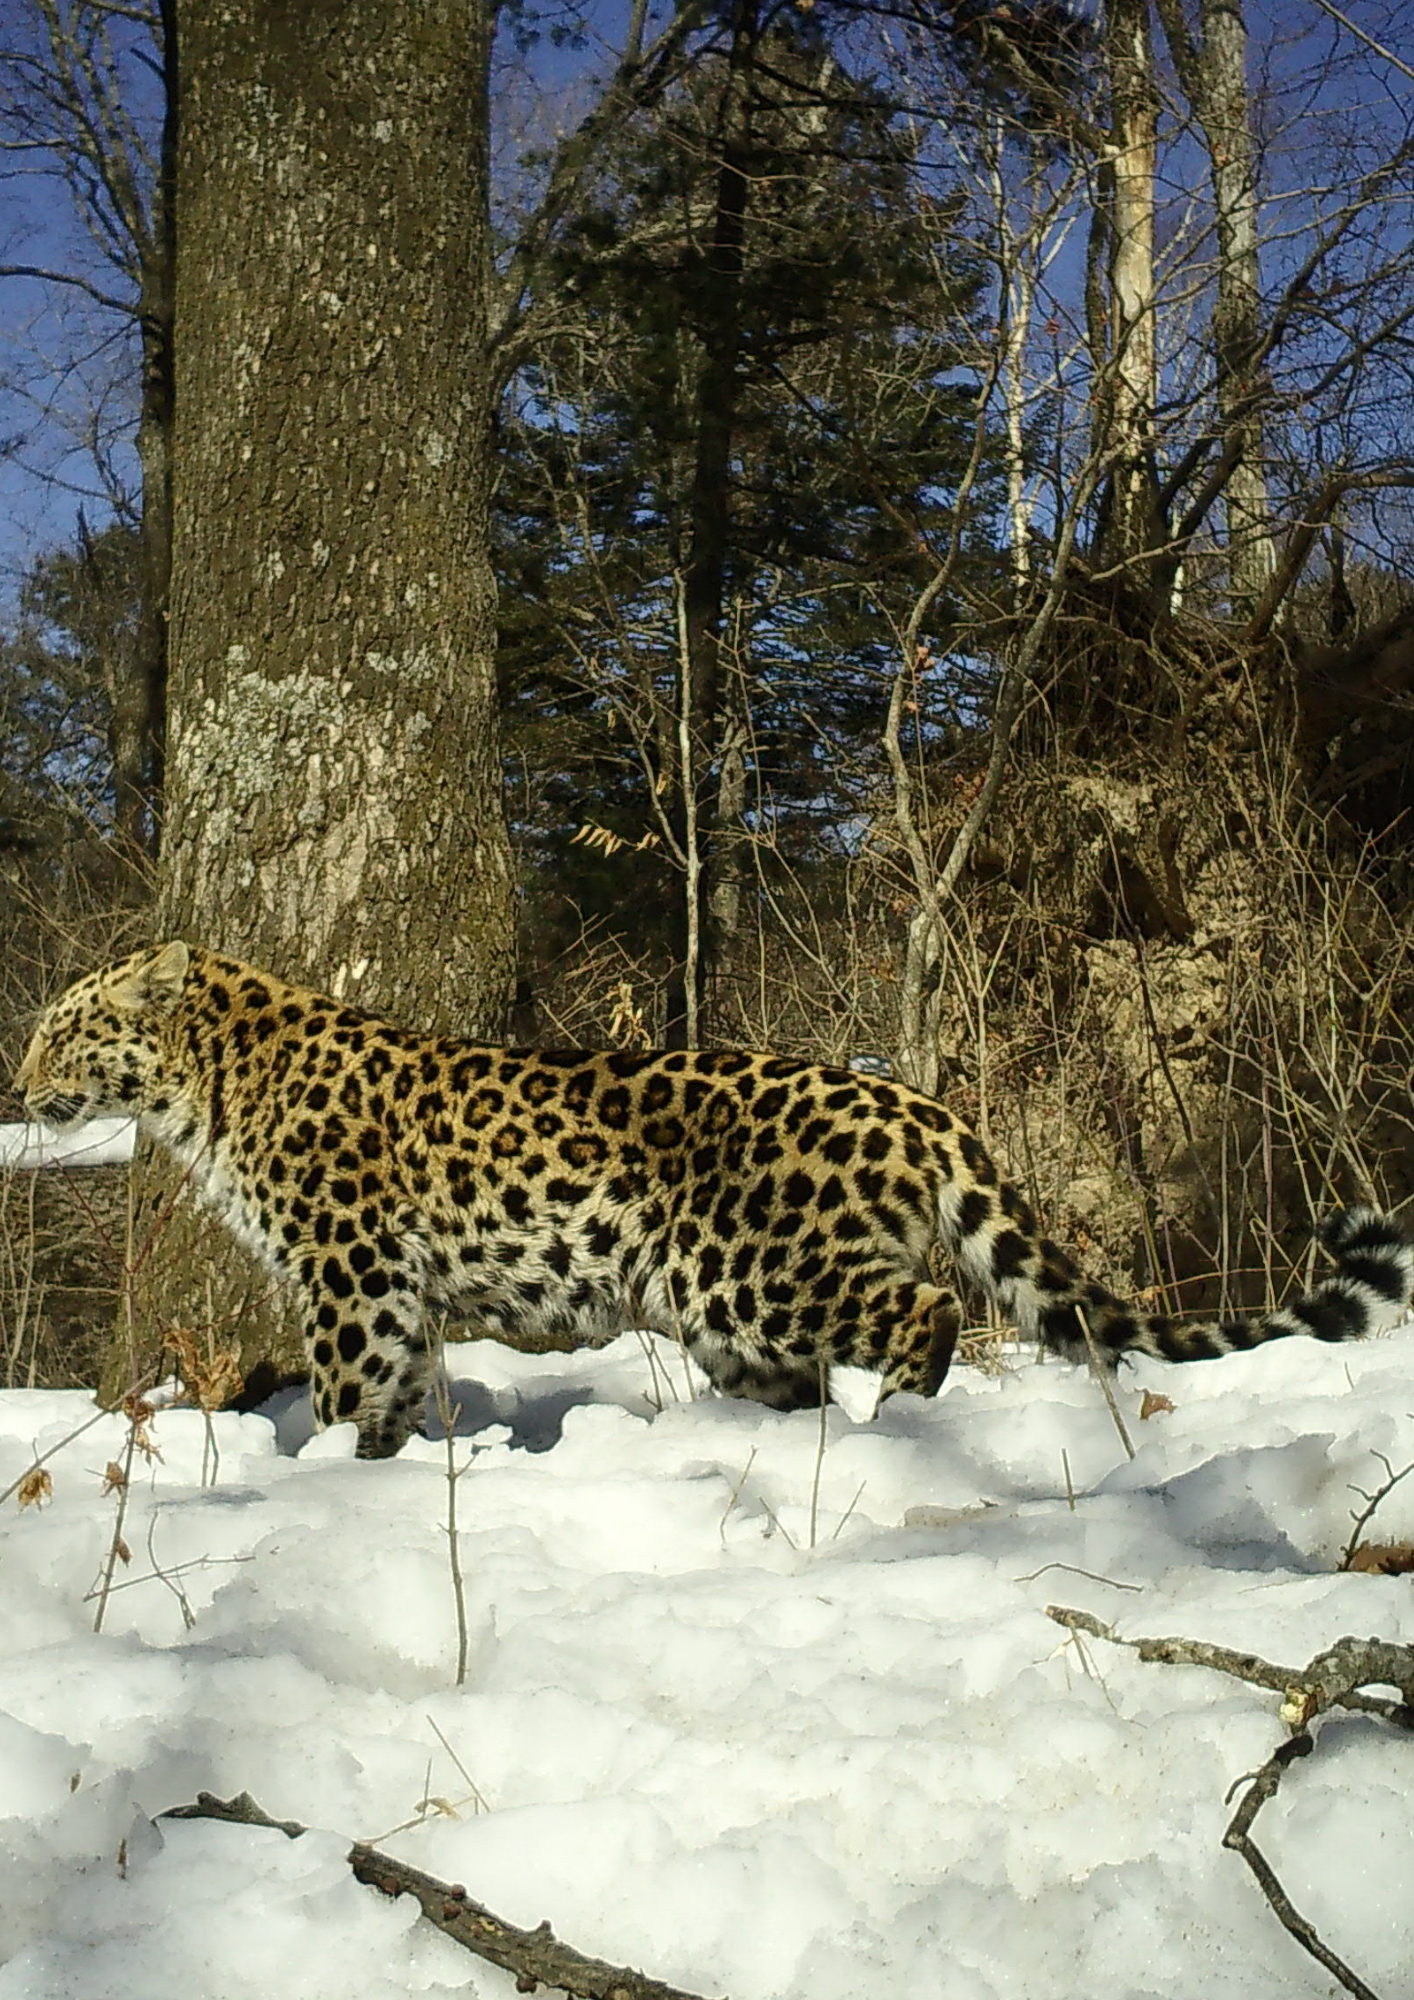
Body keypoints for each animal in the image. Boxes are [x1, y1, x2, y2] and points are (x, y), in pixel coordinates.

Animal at [13, 936, 1414, 1456]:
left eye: (63, 1030)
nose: (14, 1083)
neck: (205, 1084)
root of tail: (920, 1105)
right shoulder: (395, 1286)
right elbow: (405, 1385)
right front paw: (398, 1464)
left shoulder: (352, 1269)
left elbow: (354, 1381)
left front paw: (331, 1473)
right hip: (731, 1309)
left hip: (751, 1272)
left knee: (925, 1316)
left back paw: (899, 1422)